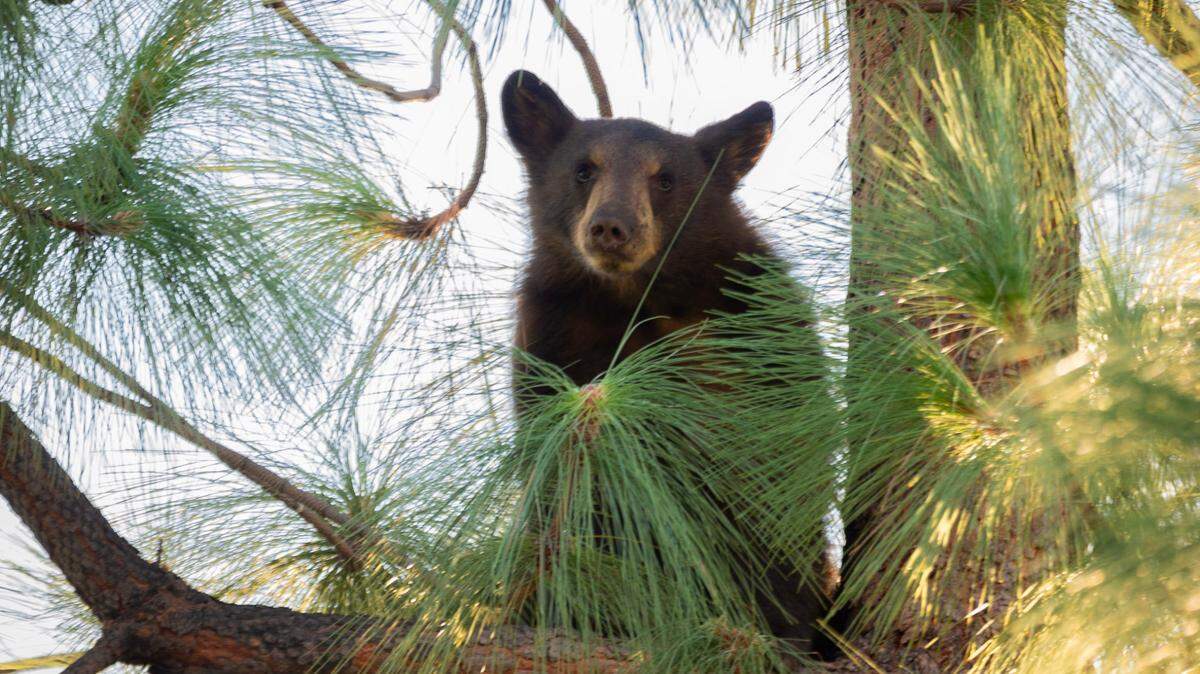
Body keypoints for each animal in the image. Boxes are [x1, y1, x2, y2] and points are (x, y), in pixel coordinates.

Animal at [502, 69, 837, 660]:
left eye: (665, 180)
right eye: (584, 169)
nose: (611, 228)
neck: (640, 299)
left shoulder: (759, 324)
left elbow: (780, 470)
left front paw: (781, 624)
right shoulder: (551, 335)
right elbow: (559, 466)